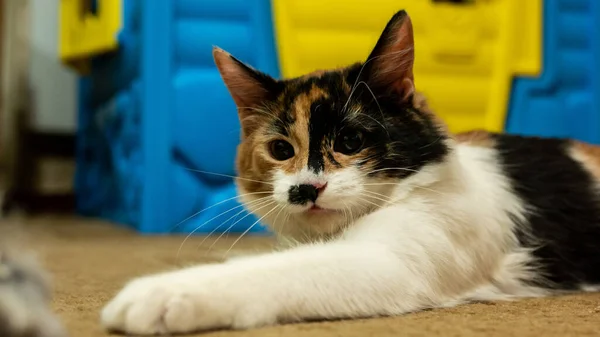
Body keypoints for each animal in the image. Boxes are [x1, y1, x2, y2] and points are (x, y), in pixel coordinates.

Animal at [101, 9, 600, 334]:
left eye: (350, 142)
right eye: (280, 150)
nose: (306, 189)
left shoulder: (390, 263)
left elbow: (275, 270)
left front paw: (159, 294)